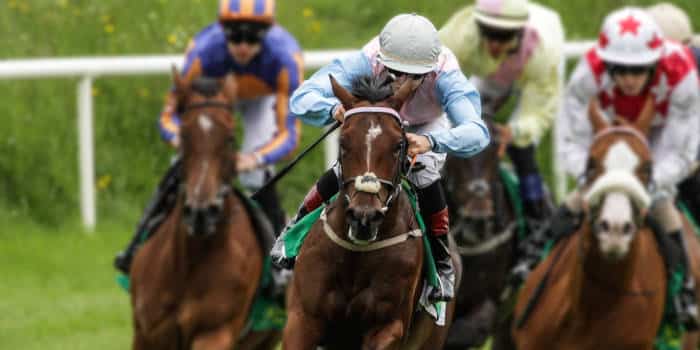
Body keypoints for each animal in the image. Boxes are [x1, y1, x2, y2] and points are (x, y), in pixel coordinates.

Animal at [130, 71, 278, 350]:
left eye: (230, 138)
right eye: (184, 135)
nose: (202, 213)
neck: (188, 263)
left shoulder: (215, 332)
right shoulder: (146, 332)